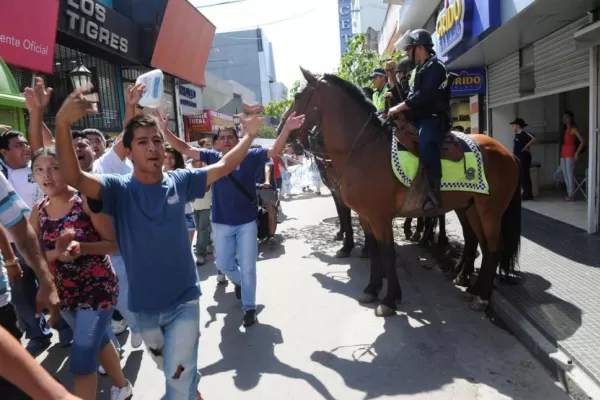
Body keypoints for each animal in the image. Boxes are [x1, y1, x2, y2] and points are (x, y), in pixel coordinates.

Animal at [288, 69, 520, 318]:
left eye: (298, 96)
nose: (285, 130)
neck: (364, 149)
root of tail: (507, 152)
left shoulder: (380, 217)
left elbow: (388, 253)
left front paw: (389, 299)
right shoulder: (365, 216)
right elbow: (374, 250)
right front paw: (372, 289)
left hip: (491, 211)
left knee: (494, 248)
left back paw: (482, 297)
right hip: (472, 207)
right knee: (482, 245)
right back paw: (473, 288)